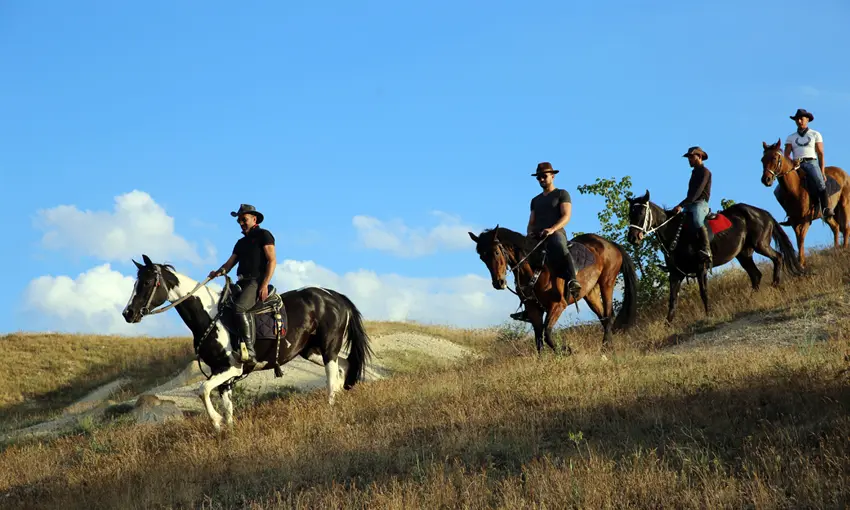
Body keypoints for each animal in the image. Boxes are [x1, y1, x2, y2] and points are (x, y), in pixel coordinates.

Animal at [122, 254, 373, 432]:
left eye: (147, 282)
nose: (128, 313)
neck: (210, 316)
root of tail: (335, 296)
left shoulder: (231, 367)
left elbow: (202, 390)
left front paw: (216, 421)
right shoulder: (221, 372)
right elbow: (228, 406)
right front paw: (226, 430)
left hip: (328, 347)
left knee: (332, 379)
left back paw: (331, 408)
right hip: (311, 351)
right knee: (344, 367)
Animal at [468, 226, 638, 354]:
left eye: (497, 252)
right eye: (482, 257)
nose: (499, 283)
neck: (536, 267)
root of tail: (610, 244)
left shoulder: (557, 305)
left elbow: (548, 334)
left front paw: (567, 350)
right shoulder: (533, 309)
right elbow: (538, 339)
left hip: (606, 283)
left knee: (609, 316)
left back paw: (605, 350)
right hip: (591, 293)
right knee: (603, 317)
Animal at [626, 190, 805, 322]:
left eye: (641, 211)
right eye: (630, 214)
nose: (632, 238)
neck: (677, 233)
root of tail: (763, 213)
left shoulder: (701, 268)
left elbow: (703, 292)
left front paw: (709, 315)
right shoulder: (675, 273)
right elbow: (672, 299)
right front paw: (667, 324)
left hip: (760, 244)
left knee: (778, 258)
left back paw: (774, 286)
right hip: (744, 254)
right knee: (756, 275)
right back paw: (750, 301)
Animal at [760, 139, 850, 267]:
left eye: (774, 158)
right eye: (762, 159)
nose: (765, 180)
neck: (796, 189)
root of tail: (843, 172)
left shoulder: (806, 220)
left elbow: (801, 239)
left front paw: (801, 263)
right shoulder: (794, 221)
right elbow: (798, 239)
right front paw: (800, 262)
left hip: (844, 205)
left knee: (846, 228)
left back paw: (844, 249)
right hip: (827, 214)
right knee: (836, 227)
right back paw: (836, 249)